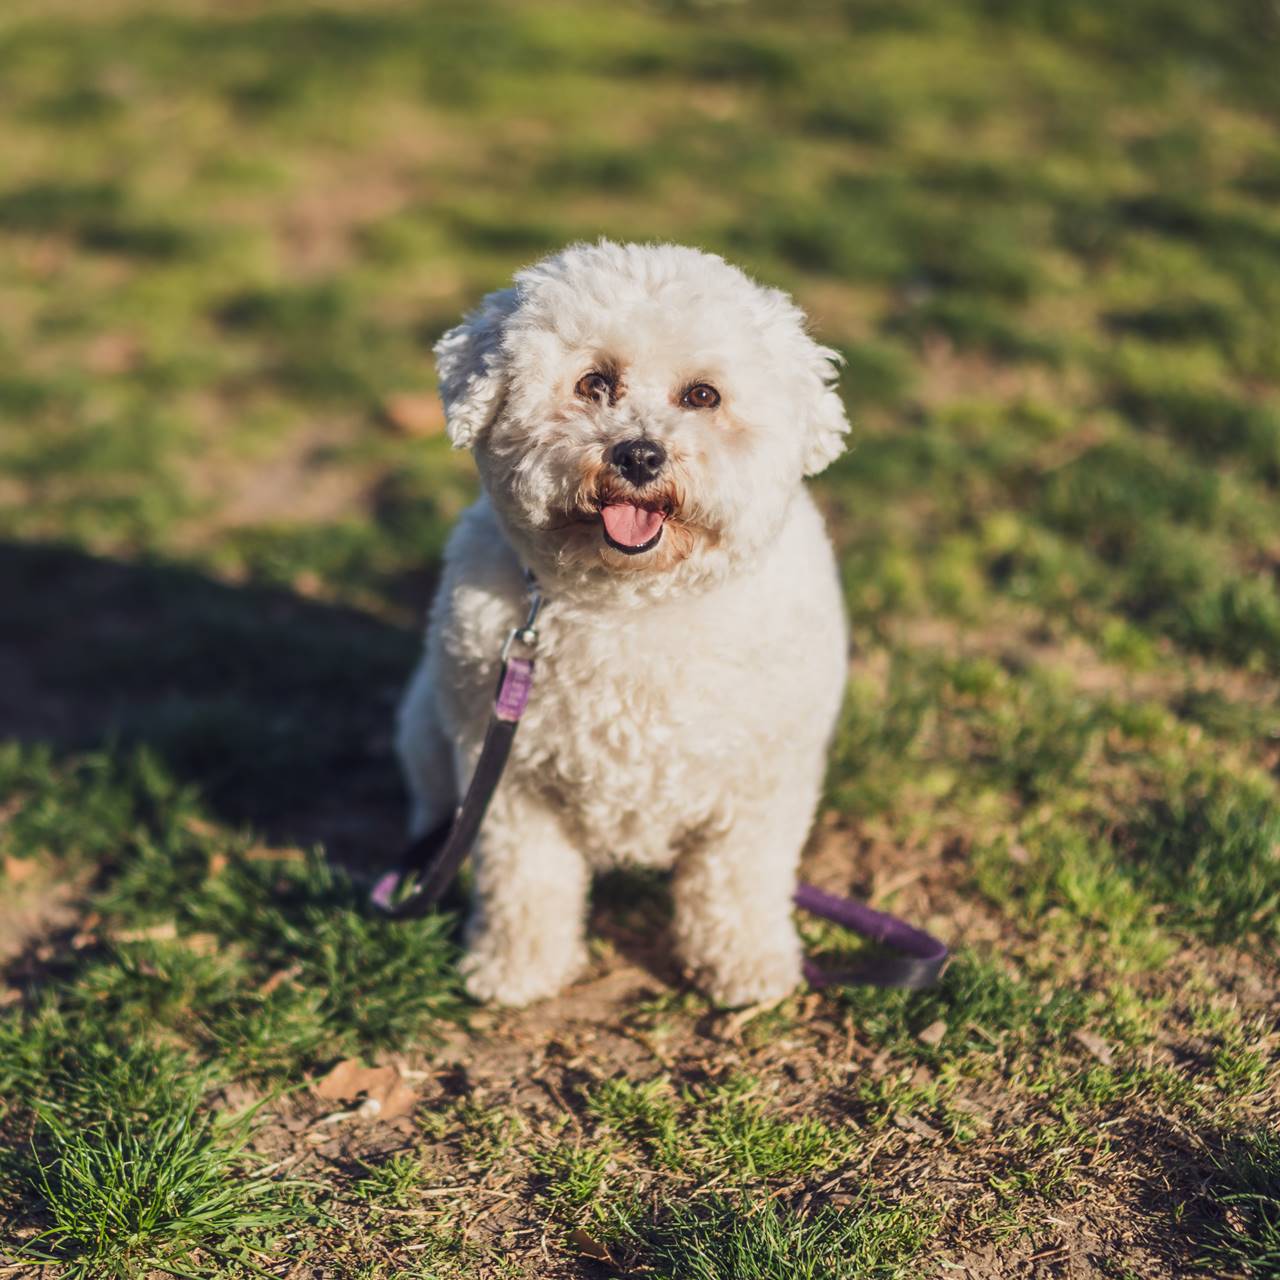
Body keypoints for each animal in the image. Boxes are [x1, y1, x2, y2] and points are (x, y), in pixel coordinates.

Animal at [391, 235, 849, 1003]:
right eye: (593, 383)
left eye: (702, 395)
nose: (638, 453)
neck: (633, 605)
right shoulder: (512, 786)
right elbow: (525, 885)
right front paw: (516, 968)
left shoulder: (762, 787)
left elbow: (740, 883)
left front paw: (748, 965)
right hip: (431, 722)